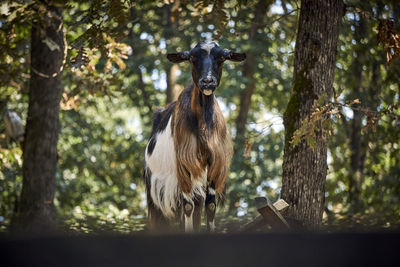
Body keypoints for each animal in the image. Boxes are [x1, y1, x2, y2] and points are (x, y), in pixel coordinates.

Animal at [142, 42, 245, 232]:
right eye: (192, 57)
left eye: (222, 57)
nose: (207, 81)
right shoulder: (184, 164)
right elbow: (187, 206)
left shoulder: (214, 163)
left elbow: (210, 205)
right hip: (155, 184)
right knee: (160, 212)